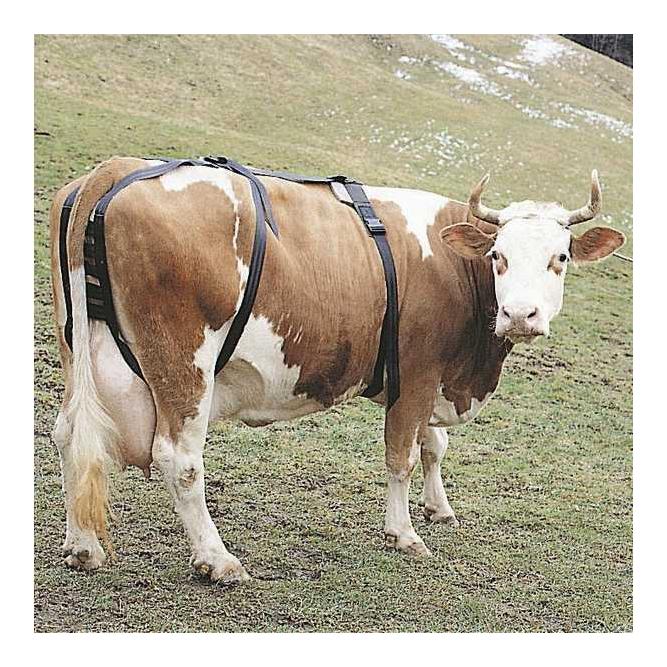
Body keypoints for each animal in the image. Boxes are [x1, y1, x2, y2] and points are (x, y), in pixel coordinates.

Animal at [49, 157, 625, 584]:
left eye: (561, 257)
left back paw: (83, 545)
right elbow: (402, 456)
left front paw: (439, 508)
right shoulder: (418, 371)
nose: (521, 315)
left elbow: (434, 445)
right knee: (179, 458)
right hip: (183, 364)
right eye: (499, 256)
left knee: (71, 434)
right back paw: (218, 559)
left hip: (77, 350)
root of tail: (113, 169)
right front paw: (404, 534)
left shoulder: (430, 377)